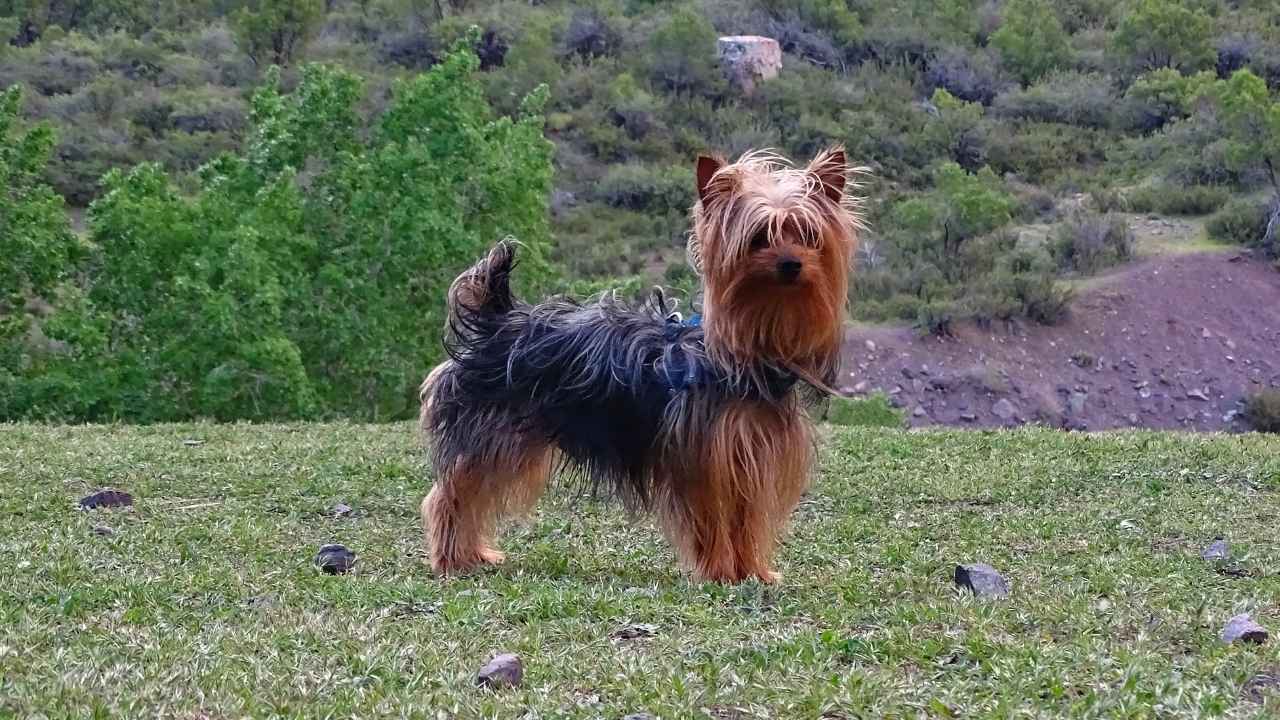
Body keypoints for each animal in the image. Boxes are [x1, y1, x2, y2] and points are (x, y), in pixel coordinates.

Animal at [419, 147, 860, 584]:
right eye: (757, 239)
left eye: (808, 236)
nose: (791, 264)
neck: (750, 351)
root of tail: (498, 320)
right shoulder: (702, 460)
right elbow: (712, 521)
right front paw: (720, 573)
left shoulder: (748, 456)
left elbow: (744, 521)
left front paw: (751, 572)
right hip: (492, 434)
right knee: (454, 495)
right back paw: (452, 559)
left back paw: (472, 554)